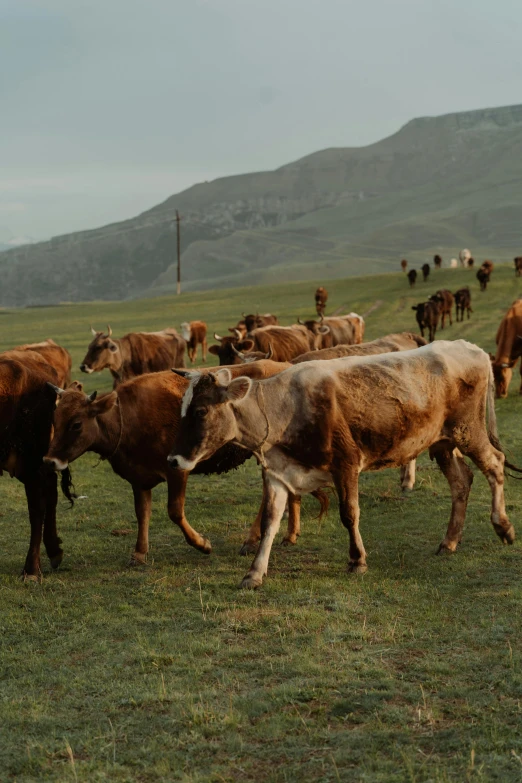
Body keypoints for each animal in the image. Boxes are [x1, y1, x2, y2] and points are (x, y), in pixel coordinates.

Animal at [169, 340, 512, 592]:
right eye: (183, 409)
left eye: (200, 411)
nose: (174, 459)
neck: (285, 407)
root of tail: (471, 348)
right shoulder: (279, 472)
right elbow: (269, 522)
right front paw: (254, 573)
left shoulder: (345, 464)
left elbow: (349, 514)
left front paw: (357, 560)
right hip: (442, 441)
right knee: (461, 481)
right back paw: (449, 541)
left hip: (468, 431)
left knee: (495, 465)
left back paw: (503, 527)